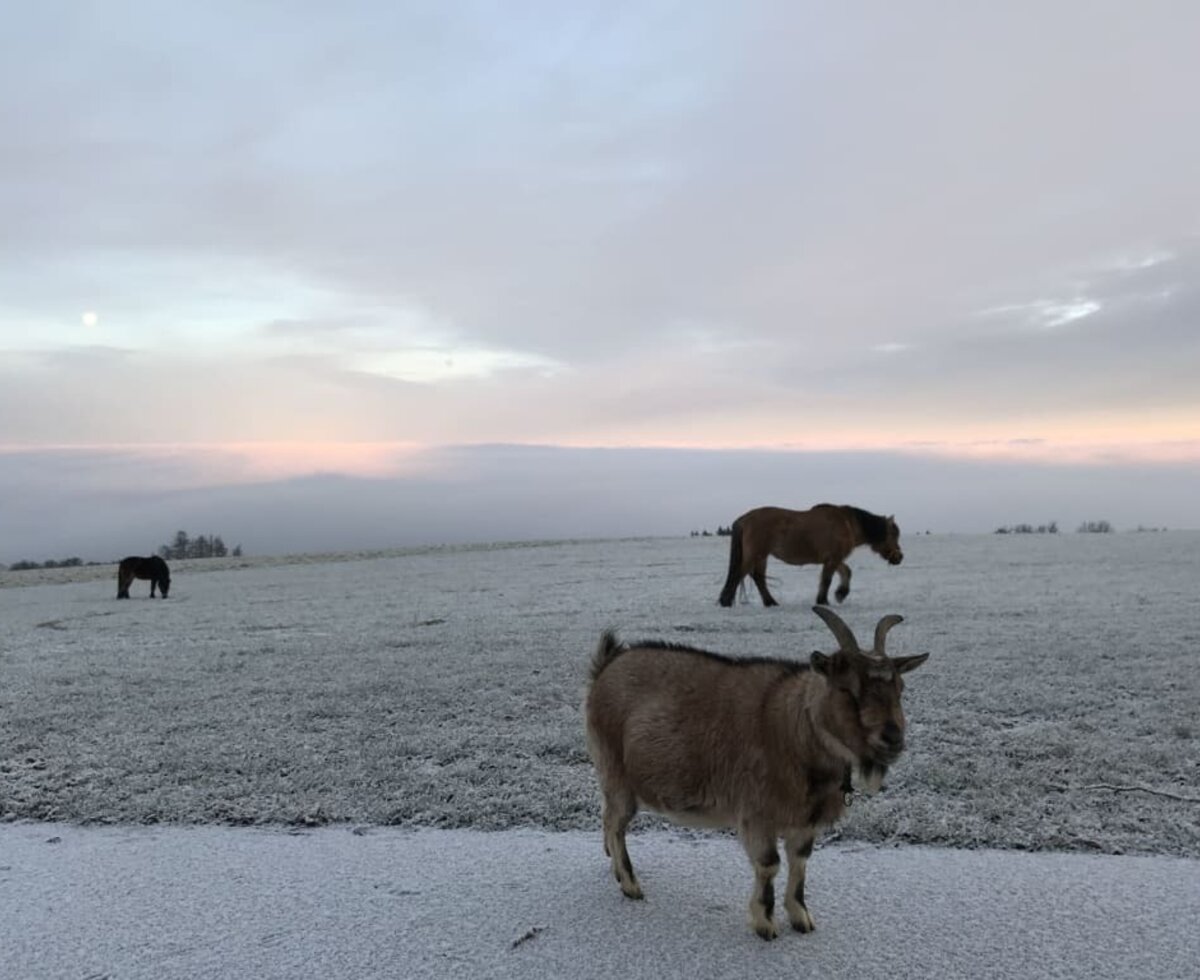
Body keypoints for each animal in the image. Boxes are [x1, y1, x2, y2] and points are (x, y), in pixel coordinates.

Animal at [580, 604, 926, 940]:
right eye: (847, 689)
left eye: (900, 687)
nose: (893, 738)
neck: (797, 727)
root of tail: (606, 665)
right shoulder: (758, 812)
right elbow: (769, 864)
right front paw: (765, 923)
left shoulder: (804, 820)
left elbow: (800, 861)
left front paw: (801, 917)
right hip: (616, 771)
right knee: (615, 822)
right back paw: (630, 885)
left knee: (607, 816)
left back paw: (613, 867)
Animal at [715, 503, 902, 604]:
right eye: (893, 534)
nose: (899, 557)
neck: (847, 524)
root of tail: (744, 519)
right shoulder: (833, 558)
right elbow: (827, 580)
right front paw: (824, 600)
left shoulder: (833, 559)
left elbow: (846, 572)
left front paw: (840, 594)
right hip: (755, 554)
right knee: (739, 574)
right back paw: (726, 601)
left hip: (762, 556)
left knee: (758, 577)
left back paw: (770, 602)